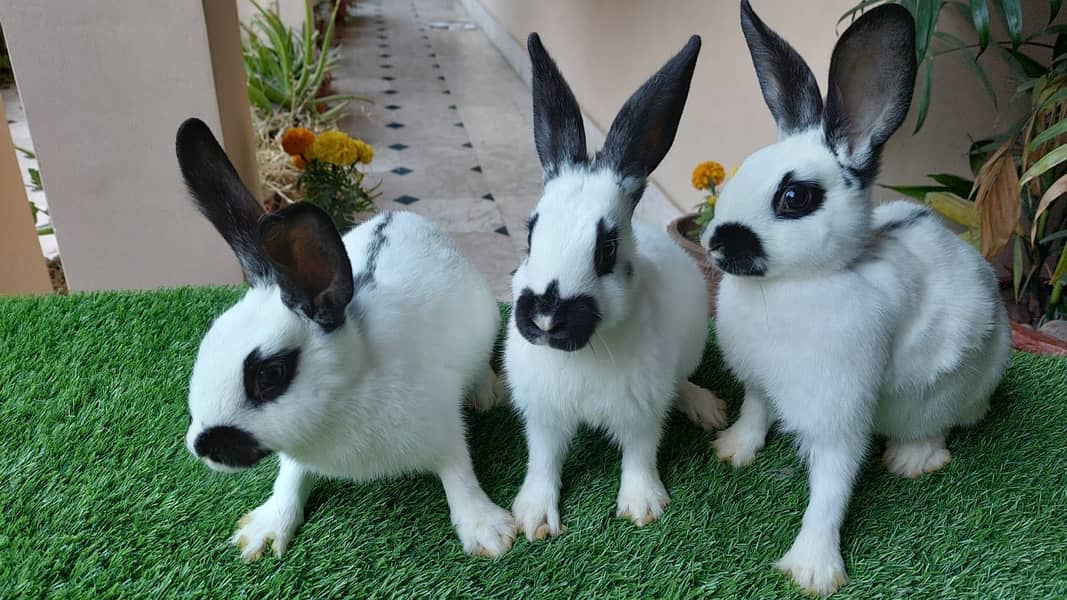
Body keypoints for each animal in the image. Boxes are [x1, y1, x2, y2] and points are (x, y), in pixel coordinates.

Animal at [175, 118, 516, 560]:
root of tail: (405, 216)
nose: (201, 446)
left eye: (271, 374)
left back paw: (487, 393)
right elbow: (289, 479)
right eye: (208, 343)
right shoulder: (296, 453)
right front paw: (264, 532)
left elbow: (460, 474)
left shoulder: (444, 427)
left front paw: (488, 533)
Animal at [505, 33, 727, 541]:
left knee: (682, 383)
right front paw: (533, 518)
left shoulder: (642, 410)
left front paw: (642, 506)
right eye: (530, 233)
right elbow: (543, 461)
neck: (584, 351)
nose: (545, 317)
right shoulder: (542, 417)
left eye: (606, 248)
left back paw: (706, 407)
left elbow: (640, 453)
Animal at [701, 1, 1011, 594]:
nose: (717, 241)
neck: (788, 285)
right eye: (740, 170)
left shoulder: (839, 410)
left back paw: (911, 460)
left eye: (793, 197)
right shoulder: (758, 380)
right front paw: (731, 451)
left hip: (951, 389)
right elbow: (754, 412)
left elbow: (832, 486)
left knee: (939, 426)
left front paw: (812, 570)